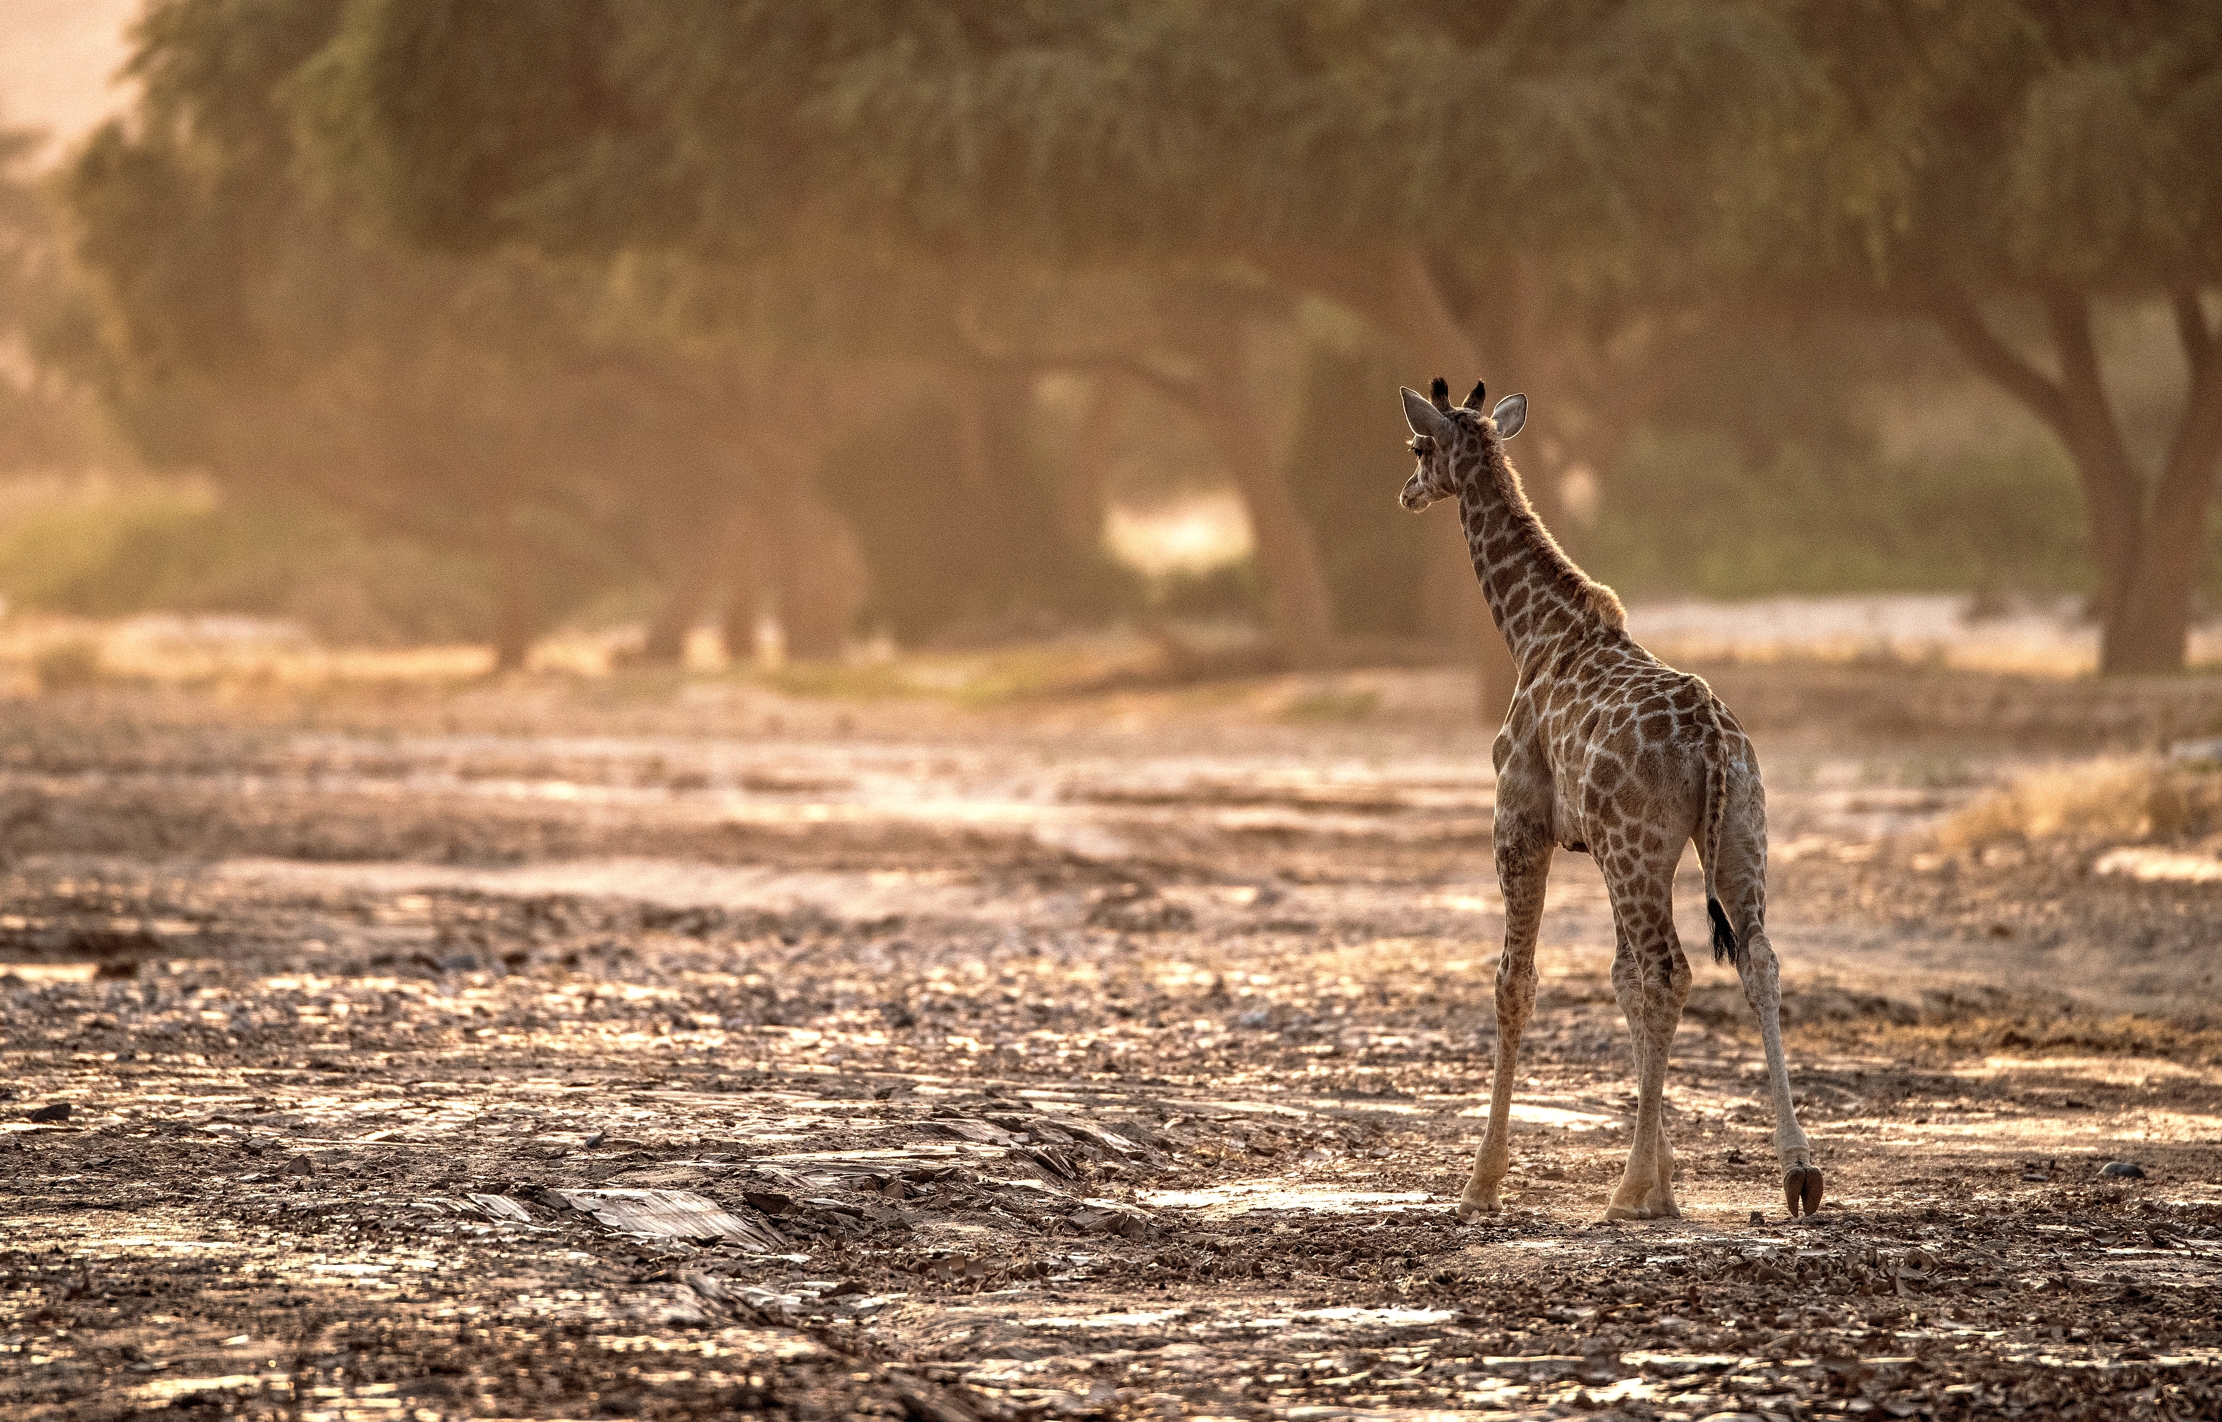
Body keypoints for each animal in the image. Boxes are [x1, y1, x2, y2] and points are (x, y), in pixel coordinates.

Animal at [1398, 376, 1821, 1222]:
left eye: (1419, 445)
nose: (1406, 492)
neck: (1531, 632)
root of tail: (1713, 745)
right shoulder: (1595, 844)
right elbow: (1621, 983)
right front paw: (1666, 1179)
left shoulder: (1519, 823)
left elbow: (1516, 982)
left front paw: (1483, 1180)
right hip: (1735, 836)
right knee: (1754, 959)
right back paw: (1798, 1172)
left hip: (1639, 848)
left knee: (1672, 970)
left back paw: (1624, 1192)